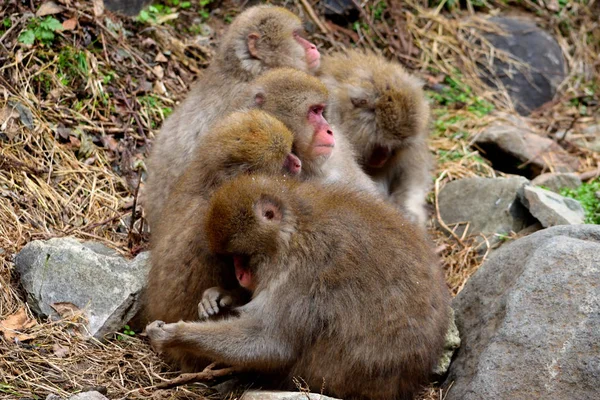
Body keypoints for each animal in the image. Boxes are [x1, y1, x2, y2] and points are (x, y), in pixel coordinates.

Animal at [146, 174, 450, 396]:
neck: (294, 232)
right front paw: (221, 296)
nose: (240, 275)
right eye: (232, 260)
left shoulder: (301, 272)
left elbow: (271, 341)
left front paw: (178, 335)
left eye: (242, 257)